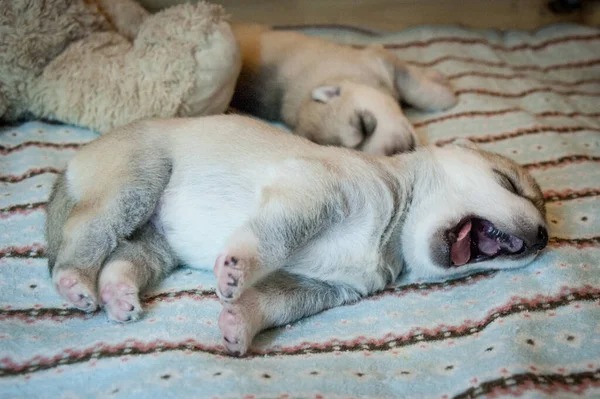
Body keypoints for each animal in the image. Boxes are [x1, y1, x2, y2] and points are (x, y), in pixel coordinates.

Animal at [45, 115, 548, 356]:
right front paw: (235, 269)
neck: (393, 227)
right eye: (509, 183)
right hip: (137, 180)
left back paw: (119, 297)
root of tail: (71, 164)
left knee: (121, 259)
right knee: (85, 231)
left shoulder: (320, 288)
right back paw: (74, 282)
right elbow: (273, 238)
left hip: (155, 243)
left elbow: (270, 302)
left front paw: (238, 324)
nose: (544, 236)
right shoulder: (314, 191)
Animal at [229, 23, 454, 155]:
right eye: (361, 154)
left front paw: (446, 97)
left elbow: (415, 88)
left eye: (363, 125)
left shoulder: (383, 62)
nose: (397, 151)